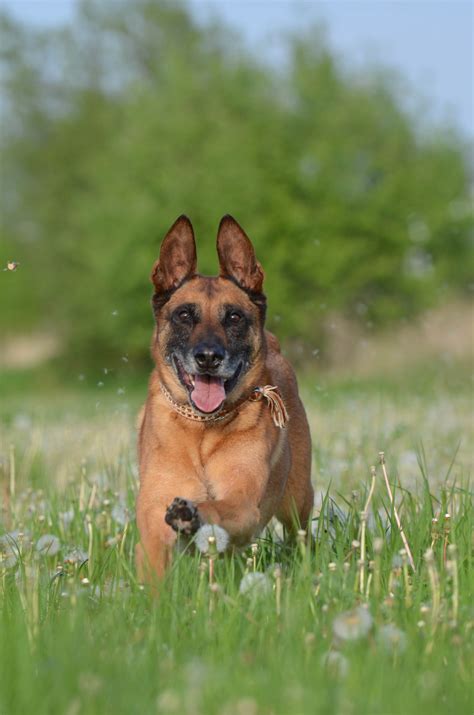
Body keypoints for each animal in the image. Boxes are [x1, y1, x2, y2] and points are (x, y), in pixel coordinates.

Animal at [136, 214, 314, 580]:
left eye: (234, 316)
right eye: (184, 315)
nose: (208, 357)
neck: (202, 432)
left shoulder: (244, 503)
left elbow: (217, 507)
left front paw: (192, 513)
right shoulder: (151, 517)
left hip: (298, 501)